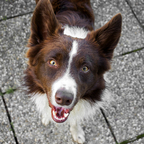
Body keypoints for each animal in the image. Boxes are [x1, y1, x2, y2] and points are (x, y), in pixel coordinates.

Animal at [24, 0, 121, 143]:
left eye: (85, 68)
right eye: (52, 62)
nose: (64, 99)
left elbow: (74, 119)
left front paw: (77, 132)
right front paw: (46, 116)